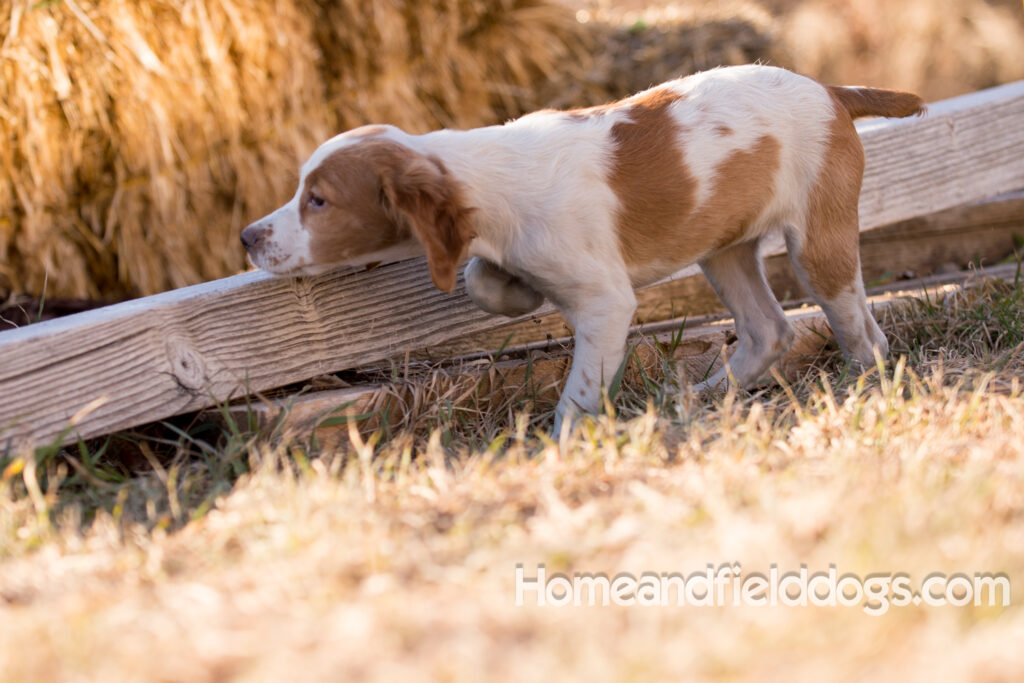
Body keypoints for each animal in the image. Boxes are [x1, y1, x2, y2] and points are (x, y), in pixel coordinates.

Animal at [243, 63, 925, 432]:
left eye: (318, 201)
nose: (248, 237)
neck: (485, 174)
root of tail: (831, 90)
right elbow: (479, 278)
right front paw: (514, 293)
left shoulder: (606, 303)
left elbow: (576, 395)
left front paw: (563, 444)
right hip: (723, 248)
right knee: (769, 330)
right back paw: (699, 397)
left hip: (817, 240)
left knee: (860, 330)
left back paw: (866, 389)